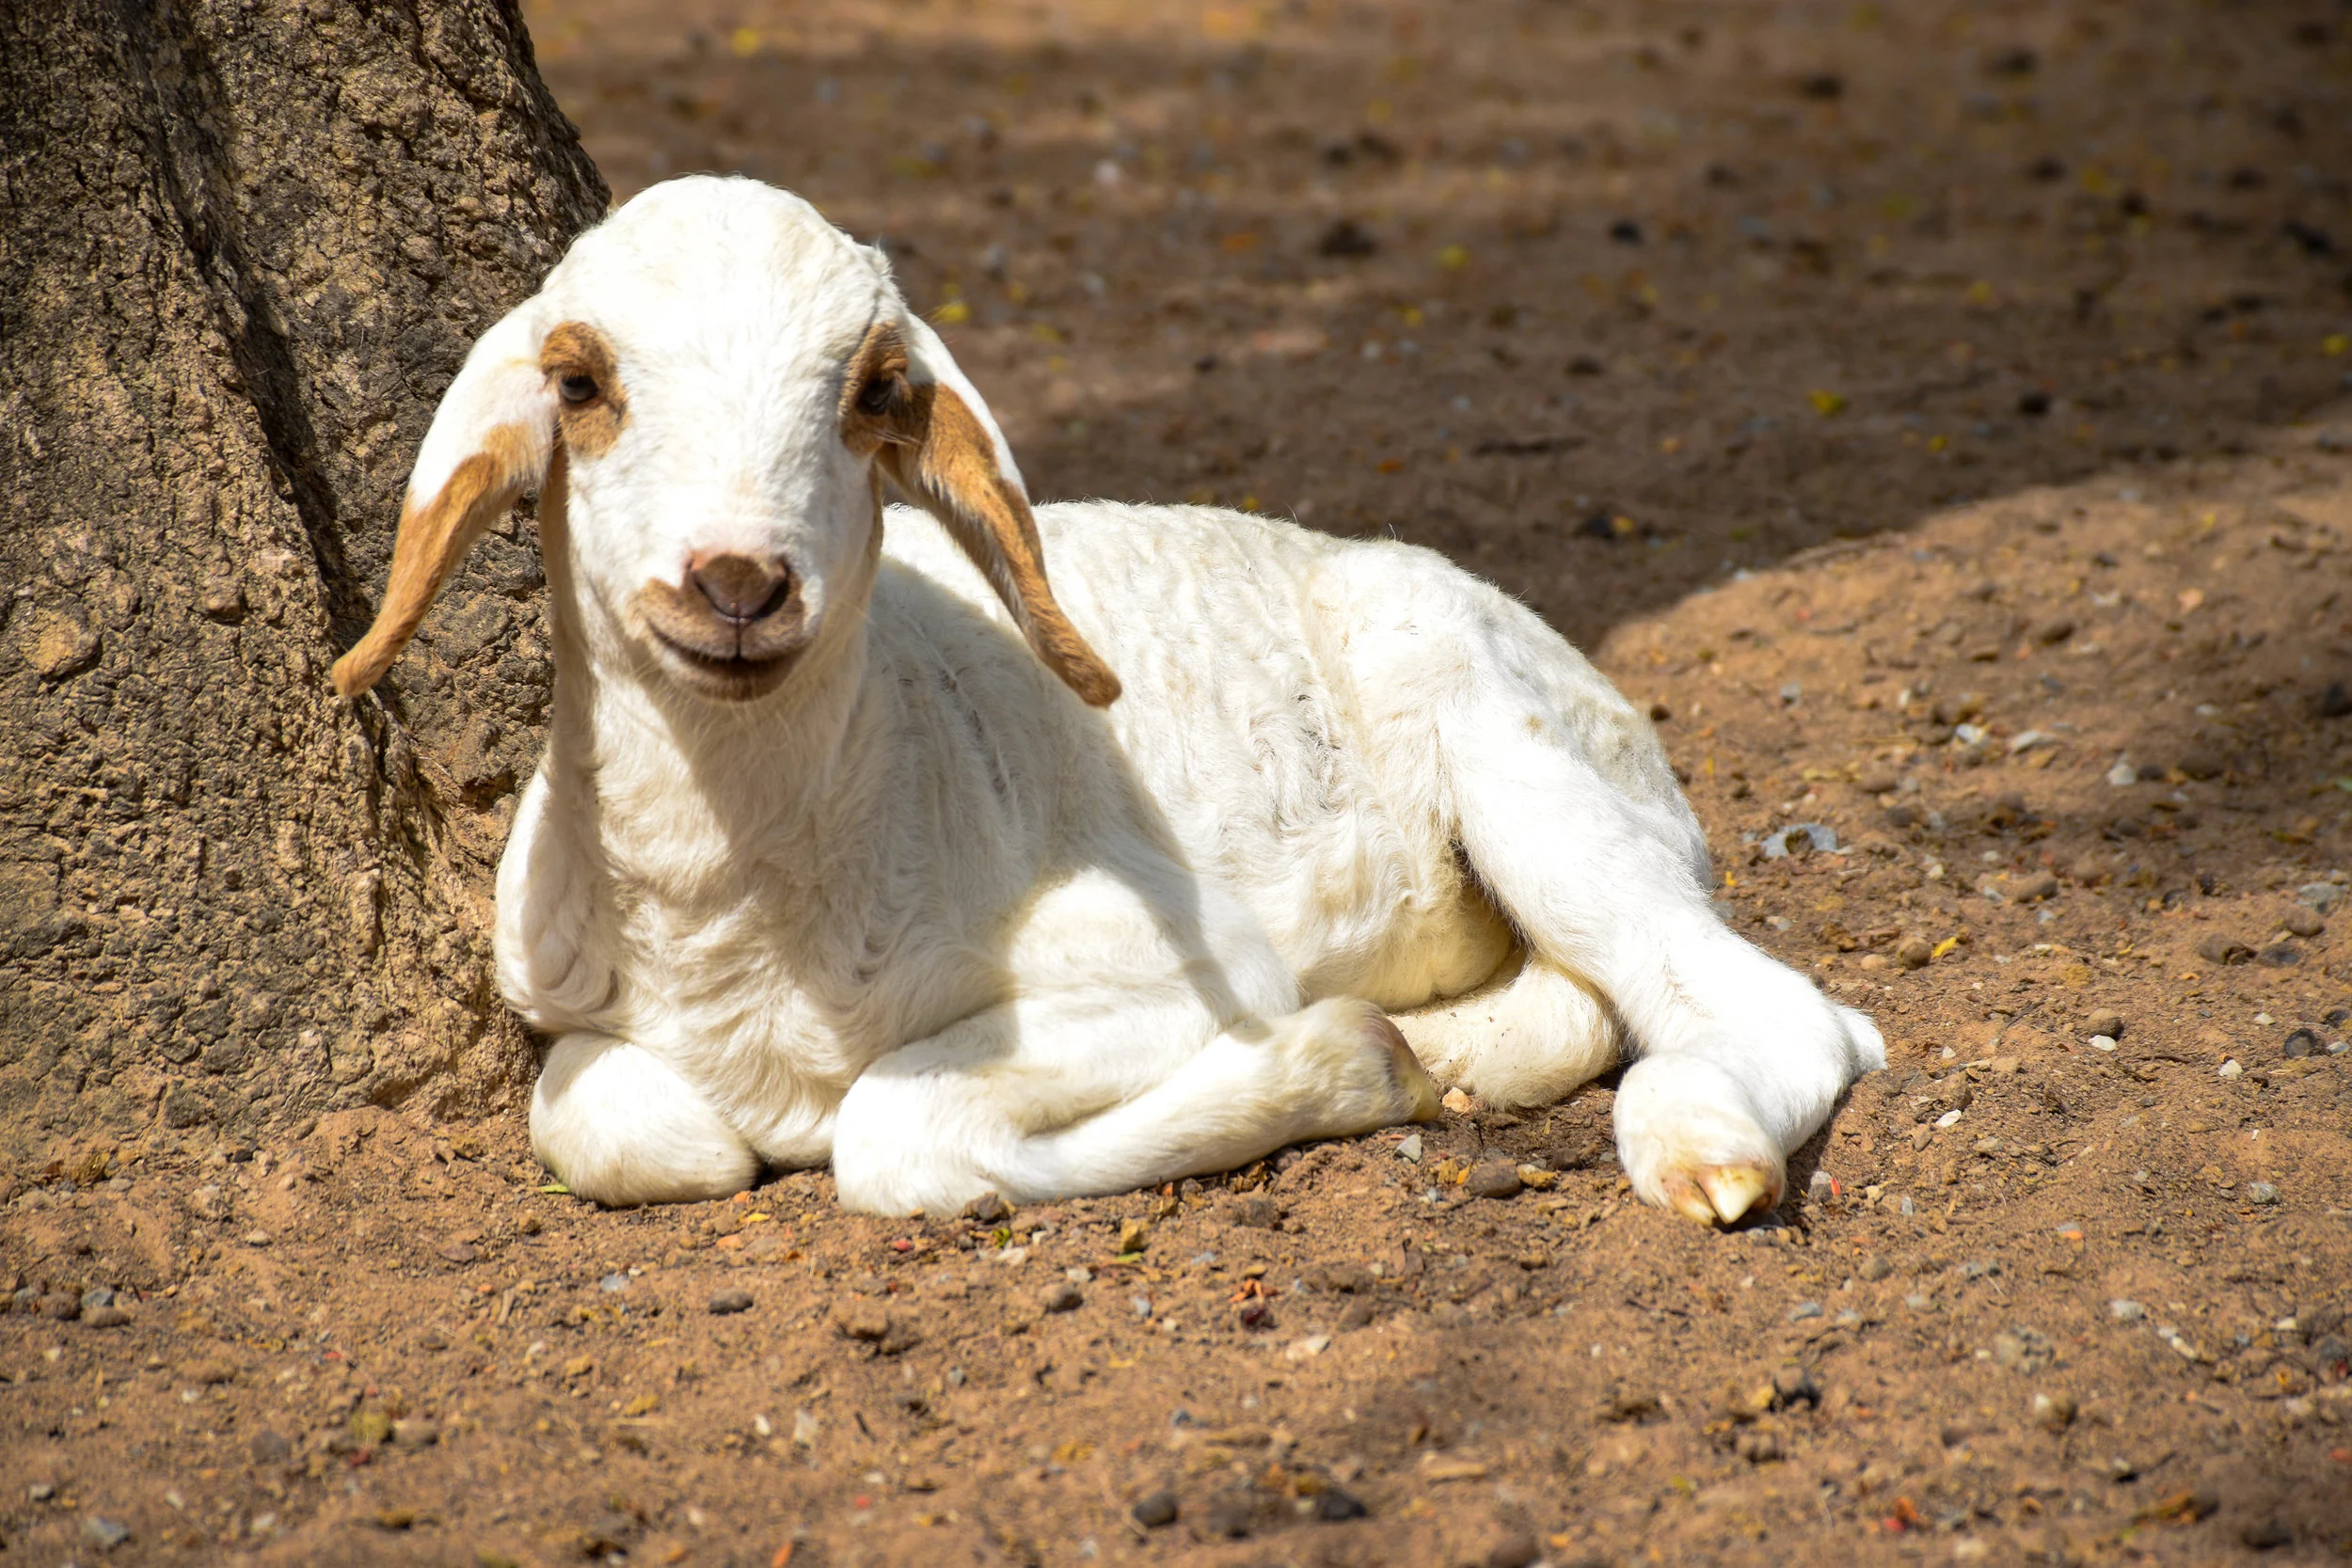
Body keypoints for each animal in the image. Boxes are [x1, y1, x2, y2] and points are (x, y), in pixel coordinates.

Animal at [331, 175, 1882, 1223]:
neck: (750, 921)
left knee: (1779, 1009)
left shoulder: (1171, 961)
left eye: (875, 391)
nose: (736, 582)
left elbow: (891, 1132)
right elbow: (616, 1120)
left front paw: (1331, 1062)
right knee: (1581, 1002)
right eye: (577, 381)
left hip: (1519, 750)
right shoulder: (561, 1003)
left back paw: (1697, 1145)